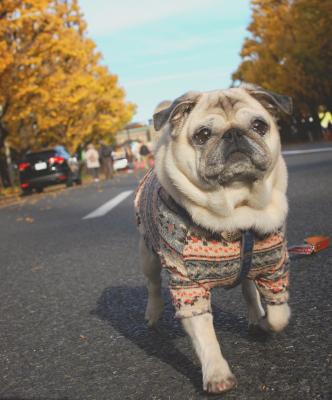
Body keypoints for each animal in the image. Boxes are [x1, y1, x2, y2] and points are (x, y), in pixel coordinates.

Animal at [134, 84, 292, 394]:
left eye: (259, 125)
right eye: (203, 135)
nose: (233, 134)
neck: (236, 210)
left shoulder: (273, 268)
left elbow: (279, 313)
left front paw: (267, 323)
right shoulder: (188, 286)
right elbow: (205, 336)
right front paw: (217, 374)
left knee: (248, 289)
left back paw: (256, 316)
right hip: (148, 255)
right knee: (153, 285)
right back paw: (153, 313)